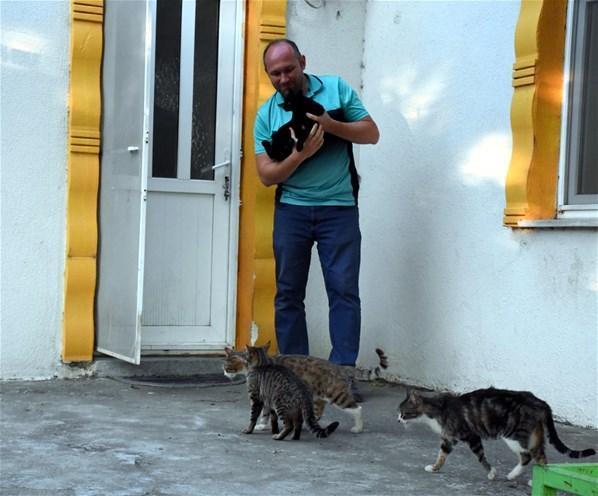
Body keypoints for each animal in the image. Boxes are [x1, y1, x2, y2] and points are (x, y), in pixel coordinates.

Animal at [225, 342, 390, 432]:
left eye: (228, 364)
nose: (225, 370)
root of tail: (340, 367)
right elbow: (266, 413)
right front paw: (262, 425)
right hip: (317, 397)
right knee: (317, 412)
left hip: (336, 394)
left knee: (357, 409)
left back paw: (358, 428)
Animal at [398, 388, 596, 480]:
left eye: (403, 412)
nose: (398, 420)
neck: (437, 410)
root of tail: (539, 401)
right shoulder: (449, 439)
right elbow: (442, 455)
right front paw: (434, 468)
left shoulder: (470, 435)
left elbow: (480, 457)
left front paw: (491, 473)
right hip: (531, 434)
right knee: (537, 454)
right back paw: (528, 477)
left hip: (514, 435)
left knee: (531, 455)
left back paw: (526, 478)